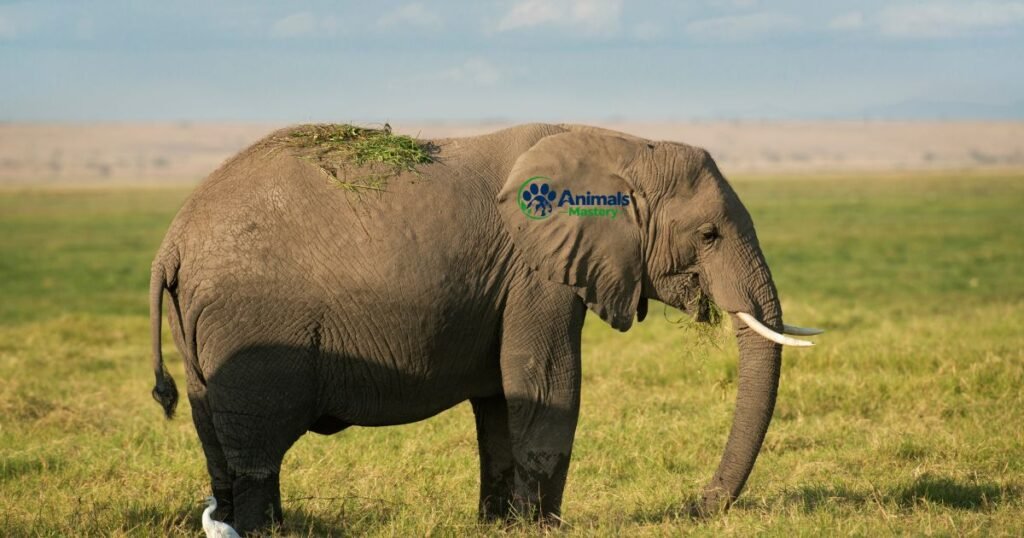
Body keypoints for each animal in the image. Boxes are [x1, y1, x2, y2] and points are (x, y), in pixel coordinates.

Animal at [148, 123, 821, 533]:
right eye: (708, 235)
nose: (697, 503)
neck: (623, 145)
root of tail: (171, 241)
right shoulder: (537, 272)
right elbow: (546, 383)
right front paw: (545, 529)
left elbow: (502, 399)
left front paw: (501, 526)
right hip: (249, 325)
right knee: (257, 449)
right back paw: (268, 531)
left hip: (198, 329)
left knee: (217, 441)